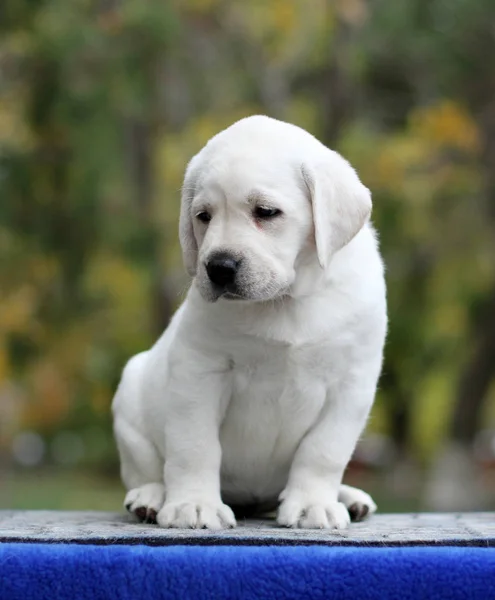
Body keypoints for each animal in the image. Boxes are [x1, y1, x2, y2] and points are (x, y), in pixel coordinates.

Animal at [111, 115, 388, 528]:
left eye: (266, 212)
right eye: (203, 216)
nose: (218, 268)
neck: (286, 300)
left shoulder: (351, 383)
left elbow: (324, 450)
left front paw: (313, 504)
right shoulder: (200, 370)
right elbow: (194, 446)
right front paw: (195, 504)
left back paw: (349, 497)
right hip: (131, 396)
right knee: (146, 468)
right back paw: (152, 496)